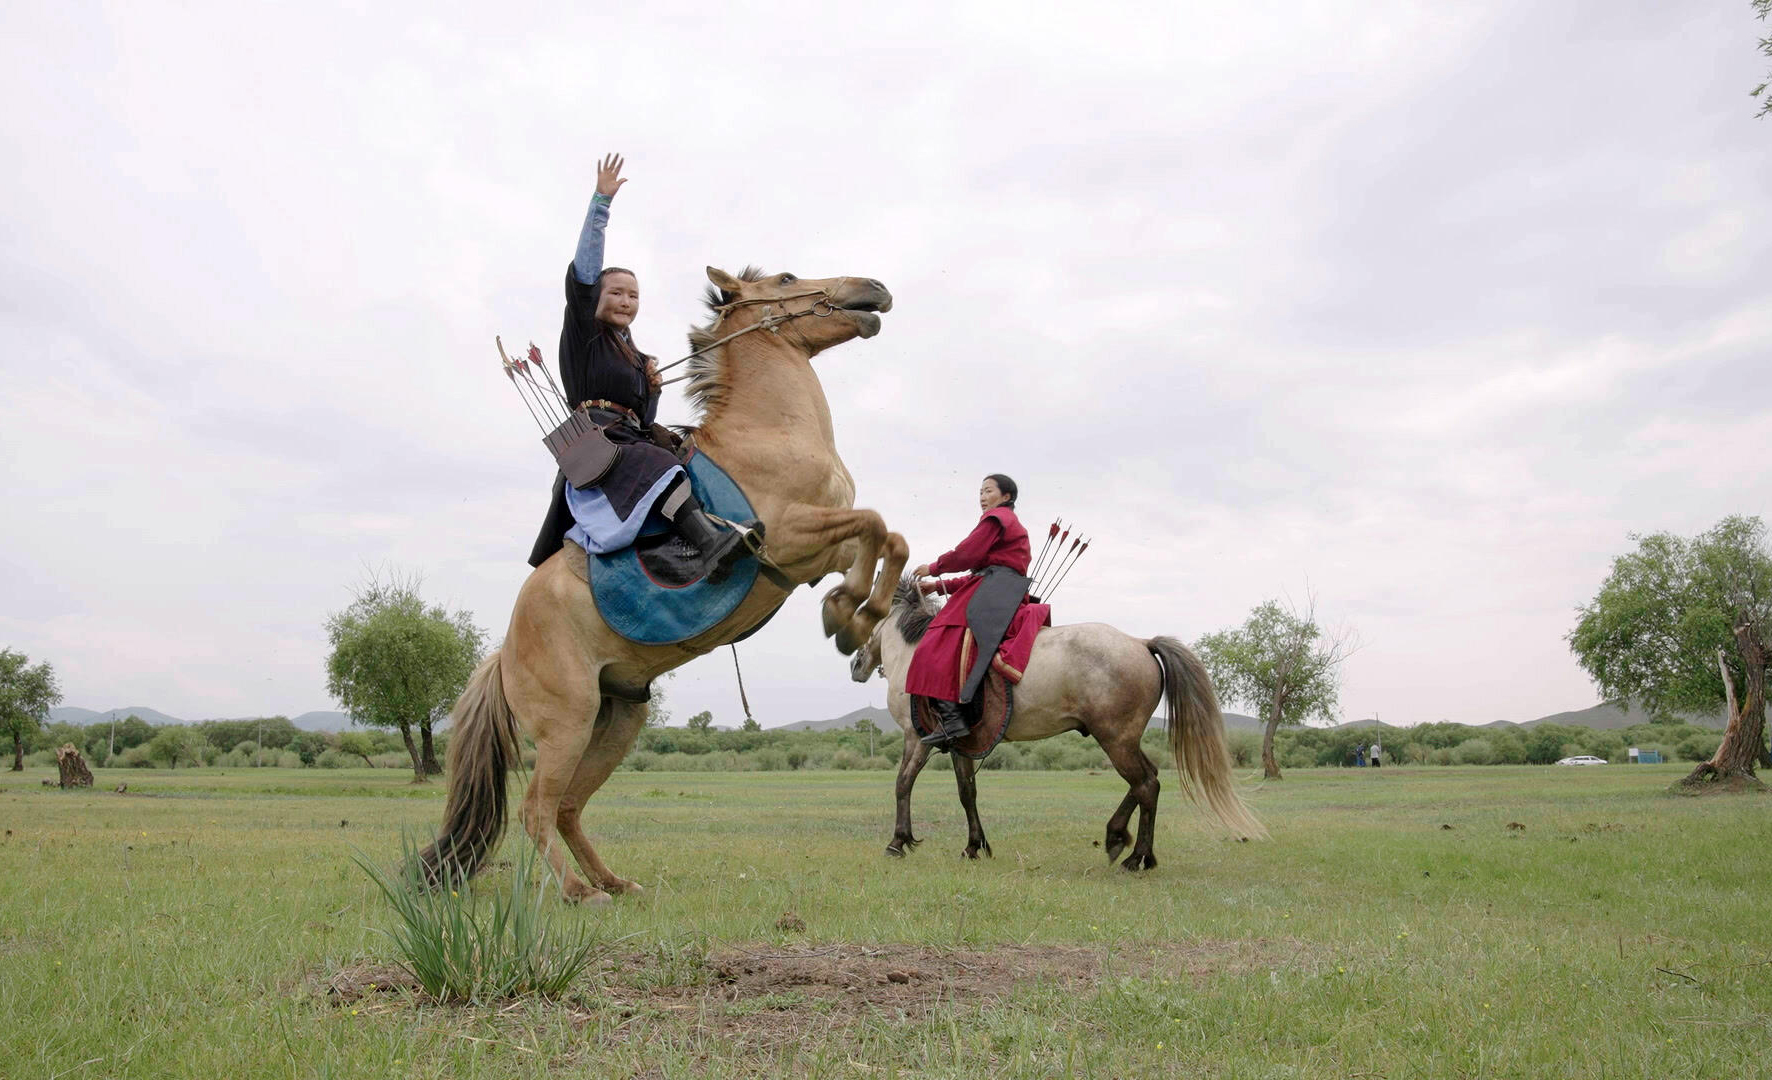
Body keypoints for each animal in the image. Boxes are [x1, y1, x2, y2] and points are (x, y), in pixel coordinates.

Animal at [421, 269, 907, 900]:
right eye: (787, 279)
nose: (873, 288)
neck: (767, 432)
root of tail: (503, 655)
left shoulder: (823, 547)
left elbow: (889, 541)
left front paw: (851, 614)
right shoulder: (792, 536)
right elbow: (874, 524)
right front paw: (848, 613)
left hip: (616, 720)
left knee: (568, 807)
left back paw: (614, 882)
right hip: (567, 724)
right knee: (537, 809)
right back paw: (581, 894)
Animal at [854, 581, 1261, 868]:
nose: (856, 665)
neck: (915, 653)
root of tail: (1140, 642)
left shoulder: (916, 737)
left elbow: (903, 784)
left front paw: (898, 841)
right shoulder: (962, 744)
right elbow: (966, 792)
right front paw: (974, 846)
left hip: (1115, 738)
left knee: (1146, 783)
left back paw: (1135, 857)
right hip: (1122, 738)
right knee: (1148, 779)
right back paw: (1120, 839)